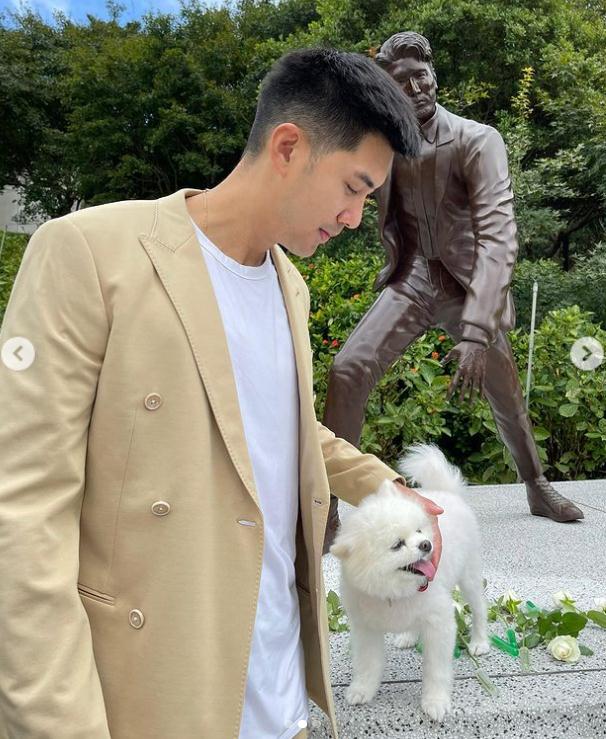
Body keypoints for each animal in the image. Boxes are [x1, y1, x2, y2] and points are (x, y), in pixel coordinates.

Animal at [330, 442, 492, 720]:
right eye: (397, 544)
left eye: (419, 531)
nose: (426, 544)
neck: (394, 592)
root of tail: (445, 492)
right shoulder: (366, 628)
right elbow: (367, 663)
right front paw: (362, 690)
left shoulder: (439, 623)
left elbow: (436, 669)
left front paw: (435, 702)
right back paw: (408, 636)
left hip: (469, 575)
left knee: (479, 607)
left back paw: (479, 642)